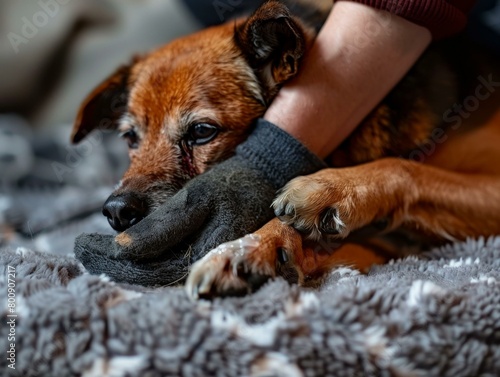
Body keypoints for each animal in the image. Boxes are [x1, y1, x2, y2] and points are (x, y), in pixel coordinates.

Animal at [71, 0, 500, 296]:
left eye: (202, 132)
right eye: (130, 138)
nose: (116, 210)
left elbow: (405, 167)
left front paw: (328, 189)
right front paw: (257, 248)